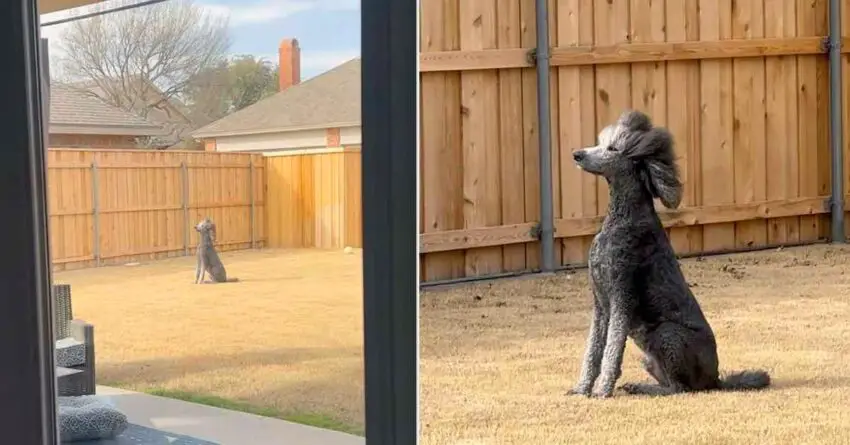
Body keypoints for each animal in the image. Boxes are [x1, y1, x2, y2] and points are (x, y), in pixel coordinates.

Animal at [568, 109, 764, 398]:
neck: (623, 216)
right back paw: (638, 385)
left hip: (665, 333)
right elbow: (593, 351)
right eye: (600, 143)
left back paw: (644, 388)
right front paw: (581, 388)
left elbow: (612, 351)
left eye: (612, 148)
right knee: (671, 384)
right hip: (649, 357)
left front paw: (602, 390)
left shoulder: (621, 297)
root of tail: (715, 379)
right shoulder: (600, 303)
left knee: (679, 388)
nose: (577, 154)